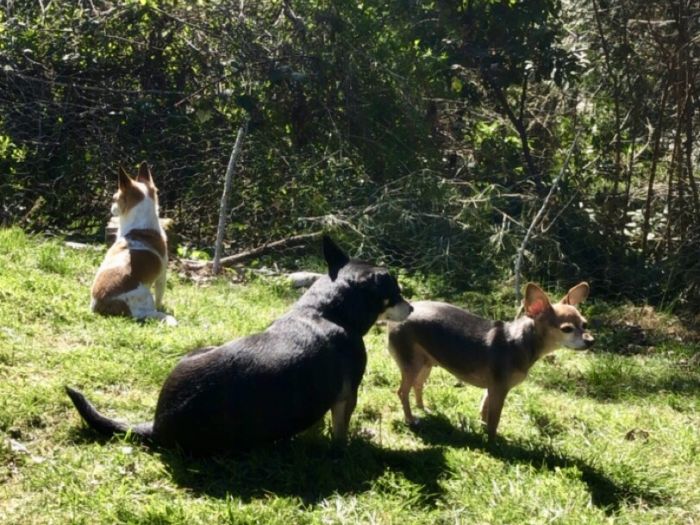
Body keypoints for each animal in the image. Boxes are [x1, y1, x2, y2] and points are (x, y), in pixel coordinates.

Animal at [67, 236, 412, 455]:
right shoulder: (347, 394)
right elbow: (340, 431)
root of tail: (157, 425)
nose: (410, 308)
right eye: (395, 294)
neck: (325, 310)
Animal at [90, 162, 175, 326]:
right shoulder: (162, 275)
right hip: (145, 295)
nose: (111, 208)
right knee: (146, 314)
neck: (140, 227)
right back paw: (165, 317)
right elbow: (160, 296)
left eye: (114, 198)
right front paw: (162, 306)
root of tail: (99, 305)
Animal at [387, 282, 593, 440]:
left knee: (417, 386)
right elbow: (494, 419)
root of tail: (395, 319)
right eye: (567, 329)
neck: (519, 340)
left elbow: (485, 411)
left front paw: (482, 429)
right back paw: (410, 418)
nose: (591, 341)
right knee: (402, 392)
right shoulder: (500, 390)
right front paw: (493, 442)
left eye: (585, 324)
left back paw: (423, 409)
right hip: (412, 365)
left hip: (425, 364)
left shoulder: (491, 389)